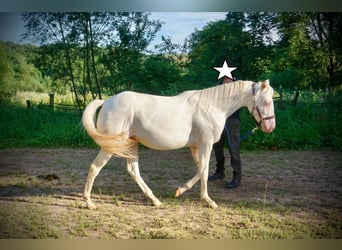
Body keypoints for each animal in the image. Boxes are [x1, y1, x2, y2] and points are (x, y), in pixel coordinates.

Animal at [82, 80, 276, 209]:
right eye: (266, 102)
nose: (270, 127)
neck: (212, 106)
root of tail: (106, 101)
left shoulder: (196, 146)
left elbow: (200, 169)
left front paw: (180, 191)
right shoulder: (205, 144)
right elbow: (204, 170)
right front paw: (208, 200)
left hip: (131, 145)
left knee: (133, 171)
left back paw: (155, 200)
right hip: (111, 146)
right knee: (94, 168)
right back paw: (89, 202)